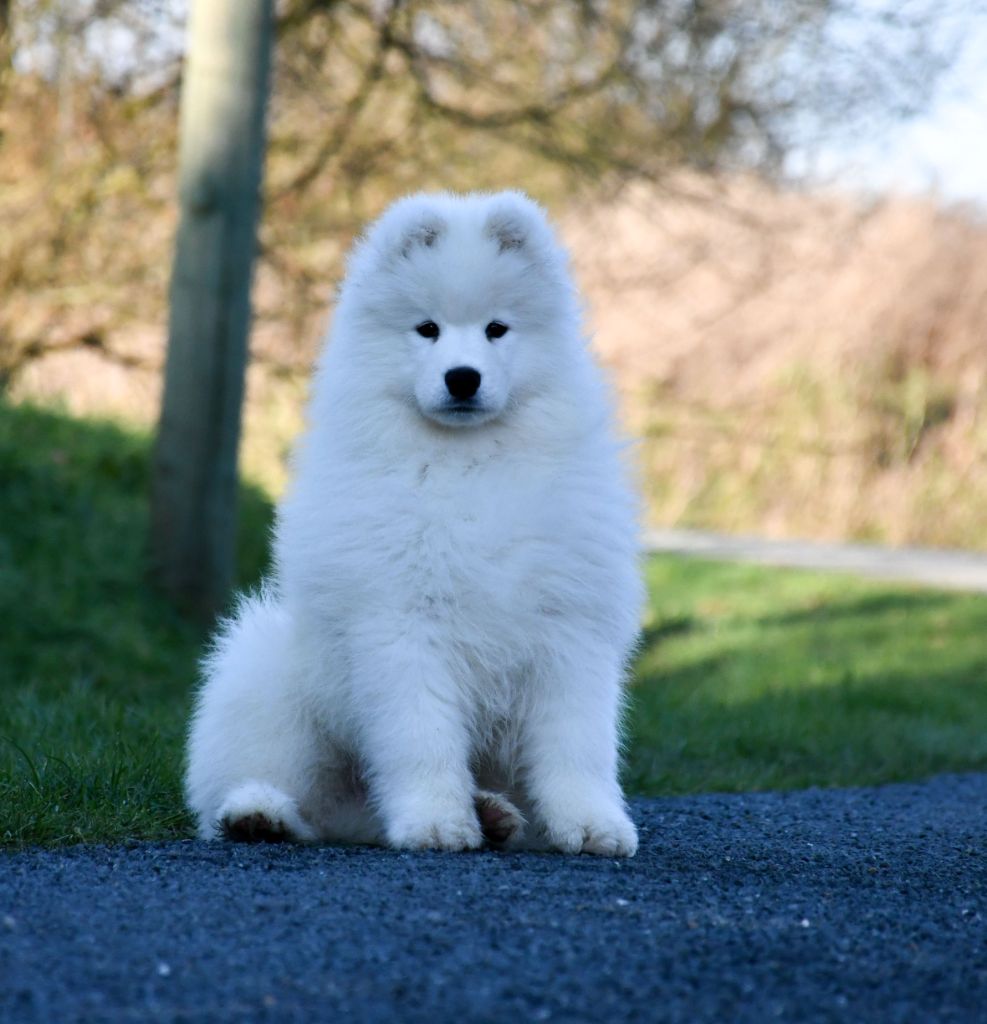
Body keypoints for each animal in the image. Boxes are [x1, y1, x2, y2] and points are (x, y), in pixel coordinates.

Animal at [186, 190, 642, 856]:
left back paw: (497, 813)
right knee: (285, 793)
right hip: (267, 676)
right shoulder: (401, 628)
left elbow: (576, 748)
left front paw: (590, 824)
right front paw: (435, 821)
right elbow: (421, 739)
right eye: (426, 329)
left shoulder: (568, 631)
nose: (463, 377)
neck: (467, 462)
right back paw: (258, 813)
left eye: (497, 329)